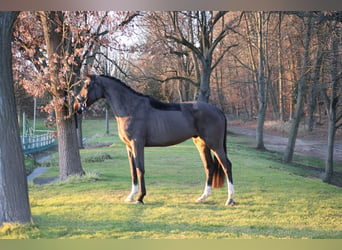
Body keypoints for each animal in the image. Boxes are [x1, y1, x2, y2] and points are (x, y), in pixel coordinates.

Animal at [74, 73, 235, 205]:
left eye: (86, 85)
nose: (76, 106)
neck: (131, 108)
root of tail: (218, 110)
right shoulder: (129, 147)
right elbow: (133, 170)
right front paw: (131, 196)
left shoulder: (137, 144)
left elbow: (140, 169)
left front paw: (140, 198)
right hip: (201, 143)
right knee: (209, 166)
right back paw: (203, 197)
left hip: (215, 144)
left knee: (226, 165)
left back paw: (230, 199)